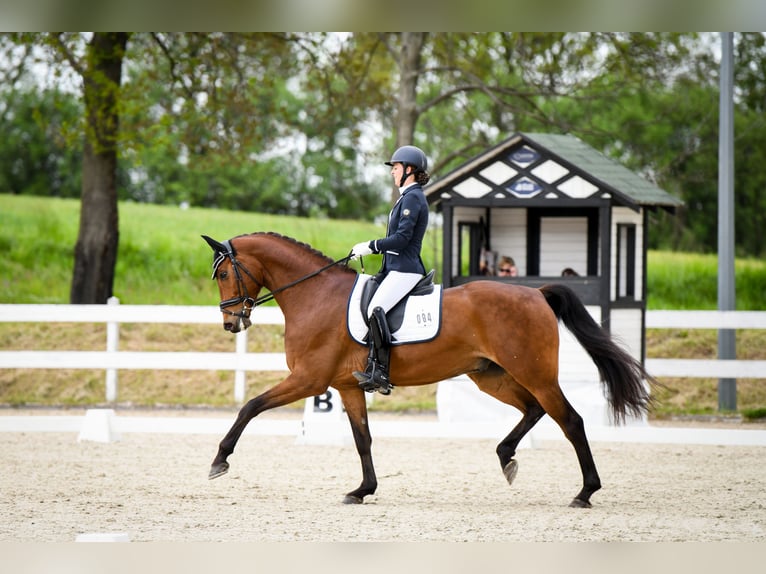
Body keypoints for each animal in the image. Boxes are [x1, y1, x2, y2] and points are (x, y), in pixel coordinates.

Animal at [202, 232, 657, 508]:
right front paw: (363, 490)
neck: (315, 296)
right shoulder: (346, 386)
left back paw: (585, 492)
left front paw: (219, 460)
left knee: (570, 420)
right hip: (492, 376)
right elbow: (362, 440)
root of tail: (537, 294)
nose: (230, 323)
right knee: (534, 410)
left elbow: (251, 406)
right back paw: (506, 457)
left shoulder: (309, 380)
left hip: (534, 373)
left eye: (223, 273)